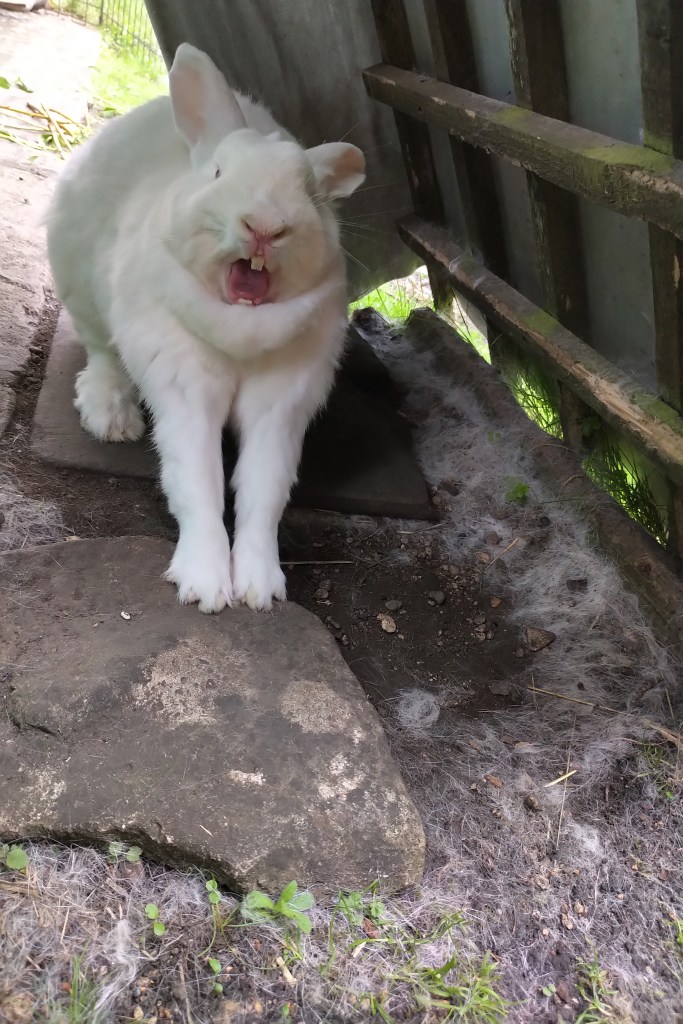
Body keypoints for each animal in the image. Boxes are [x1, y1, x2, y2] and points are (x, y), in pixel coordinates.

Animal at [46, 43, 365, 614]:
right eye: (218, 173)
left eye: (310, 193)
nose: (264, 227)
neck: (241, 325)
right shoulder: (184, 386)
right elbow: (197, 477)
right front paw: (205, 587)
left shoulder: (281, 405)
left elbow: (264, 487)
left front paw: (260, 587)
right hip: (77, 278)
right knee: (100, 351)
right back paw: (111, 414)